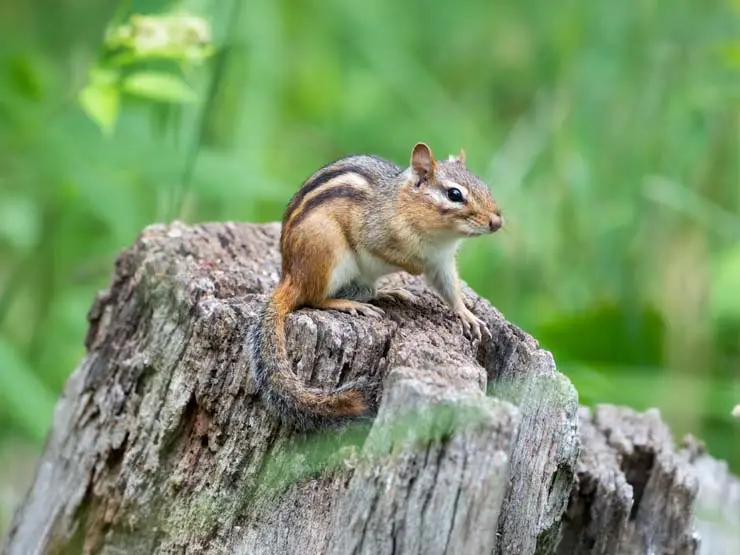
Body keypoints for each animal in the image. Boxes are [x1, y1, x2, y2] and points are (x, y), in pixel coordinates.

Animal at [248, 142, 503, 431]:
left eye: (485, 186)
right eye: (454, 194)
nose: (497, 222)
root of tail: (289, 275)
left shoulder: (442, 262)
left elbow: (450, 289)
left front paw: (467, 315)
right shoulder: (374, 235)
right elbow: (396, 255)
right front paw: (414, 267)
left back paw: (387, 293)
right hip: (327, 252)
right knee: (314, 298)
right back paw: (349, 305)